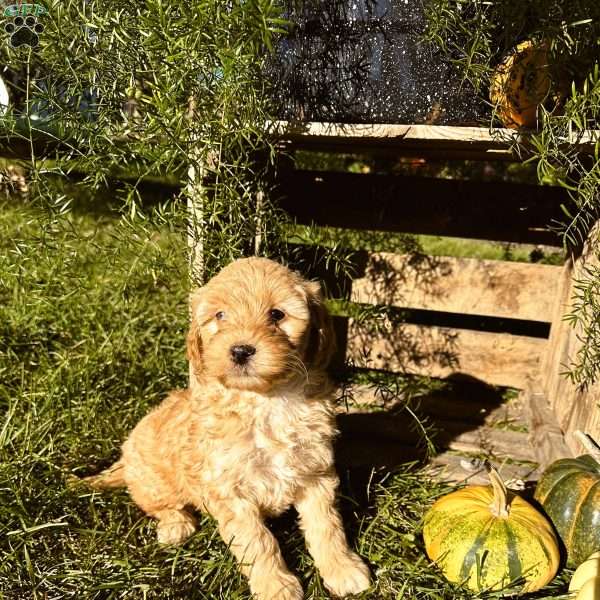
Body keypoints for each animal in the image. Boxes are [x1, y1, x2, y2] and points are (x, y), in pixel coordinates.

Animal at [85, 256, 370, 600]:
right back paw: (176, 524)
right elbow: (259, 542)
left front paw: (343, 569)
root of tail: (125, 458)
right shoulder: (229, 490)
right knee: (159, 505)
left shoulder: (315, 473)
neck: (265, 400)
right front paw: (276, 586)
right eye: (220, 316)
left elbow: (327, 526)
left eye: (277, 314)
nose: (240, 350)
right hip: (153, 481)